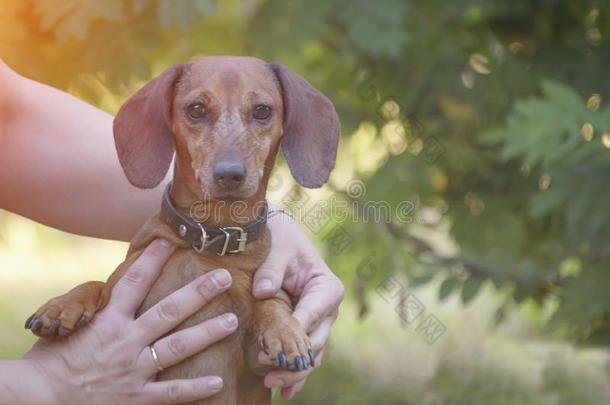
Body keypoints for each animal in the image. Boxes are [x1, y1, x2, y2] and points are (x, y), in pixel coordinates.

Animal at [26, 56, 340, 404]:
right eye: (196, 109)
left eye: (262, 111)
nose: (229, 174)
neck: (211, 242)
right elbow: (100, 283)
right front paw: (63, 305)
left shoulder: (259, 367)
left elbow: (271, 299)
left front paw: (285, 332)